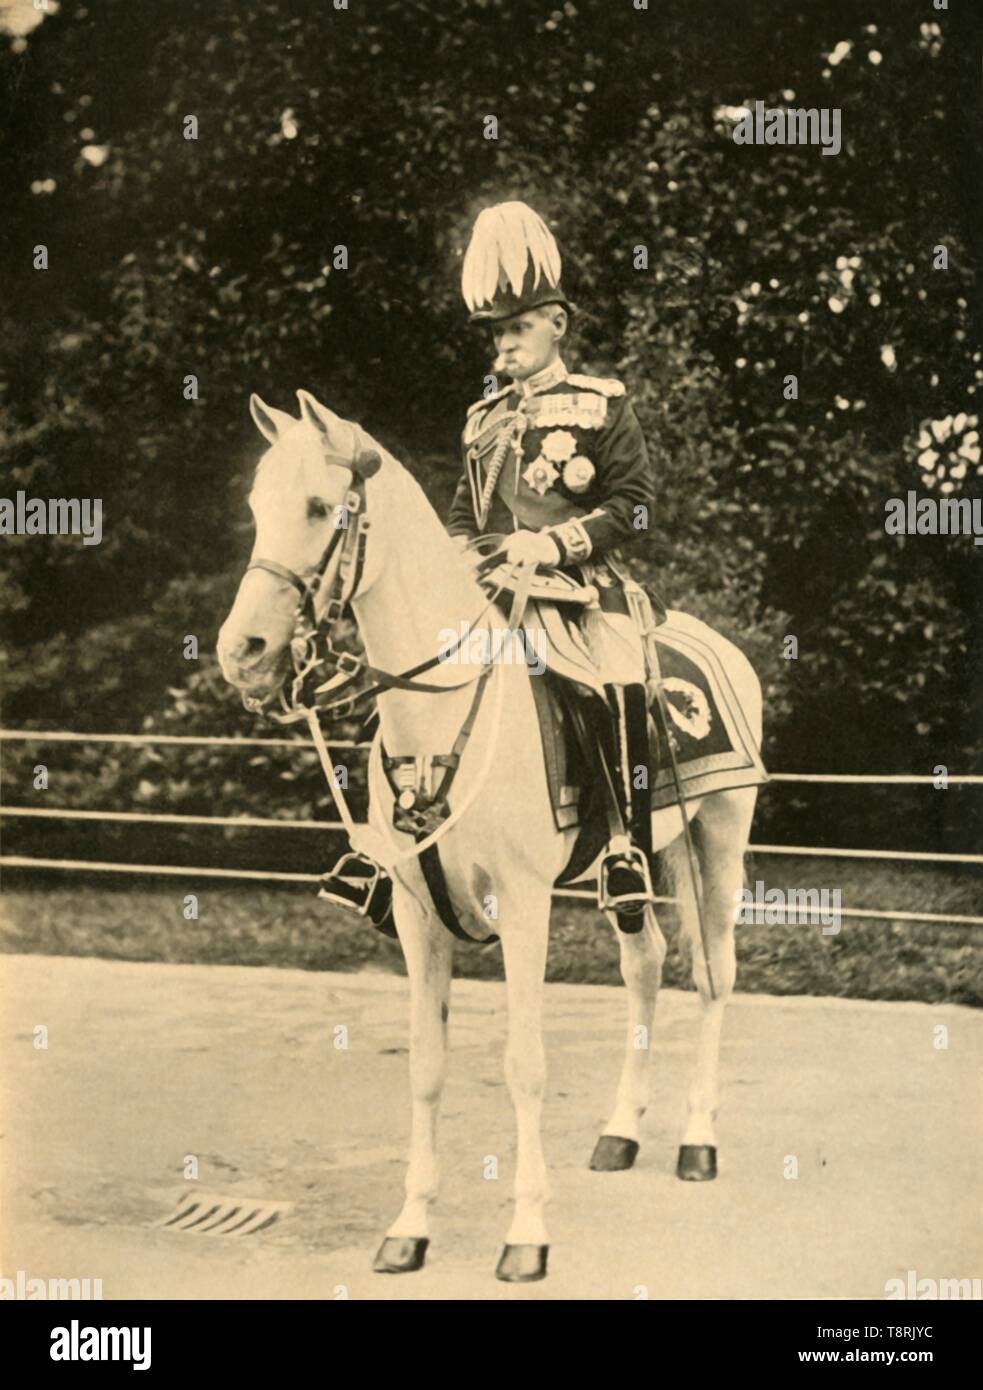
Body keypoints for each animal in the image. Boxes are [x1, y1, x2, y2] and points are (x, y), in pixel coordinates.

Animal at [219, 389, 767, 1278]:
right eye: (255, 506)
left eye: (318, 508)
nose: (243, 652)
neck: (443, 706)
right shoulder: (418, 914)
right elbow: (427, 1066)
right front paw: (409, 1225)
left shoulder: (522, 904)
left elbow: (524, 1067)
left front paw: (527, 1235)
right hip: (638, 857)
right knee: (645, 964)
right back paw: (620, 1132)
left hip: (718, 840)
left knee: (713, 976)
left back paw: (695, 1141)